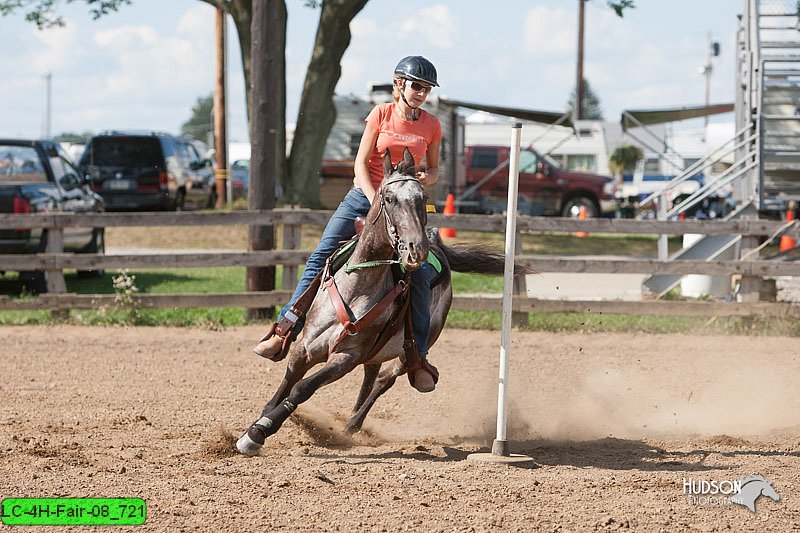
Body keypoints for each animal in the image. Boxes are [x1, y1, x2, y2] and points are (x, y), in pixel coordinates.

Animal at [234, 148, 528, 456]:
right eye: (389, 199)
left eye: (422, 197)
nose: (416, 248)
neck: (357, 286)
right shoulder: (304, 347)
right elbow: (287, 382)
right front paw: (259, 421)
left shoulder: (346, 357)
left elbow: (302, 388)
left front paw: (258, 433)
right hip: (374, 349)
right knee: (371, 374)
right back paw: (350, 418)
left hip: (410, 349)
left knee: (385, 378)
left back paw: (353, 423)